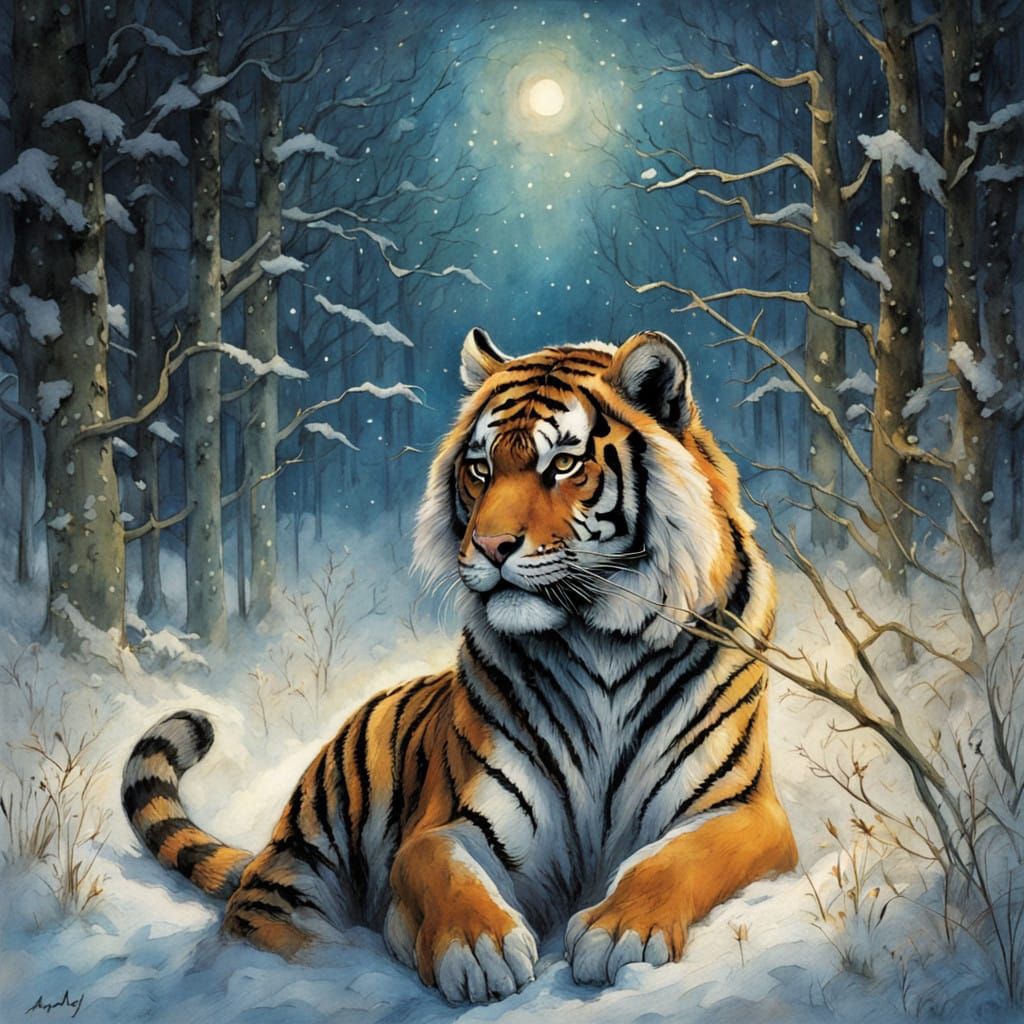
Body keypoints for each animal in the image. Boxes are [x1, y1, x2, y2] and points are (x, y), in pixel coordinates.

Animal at [122, 328, 798, 1003]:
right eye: (481, 469)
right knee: (265, 918)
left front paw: (620, 929)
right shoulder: (454, 821)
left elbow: (676, 857)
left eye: (563, 464)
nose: (492, 547)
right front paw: (479, 949)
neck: (601, 638)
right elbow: (442, 868)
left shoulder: (743, 810)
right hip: (305, 854)